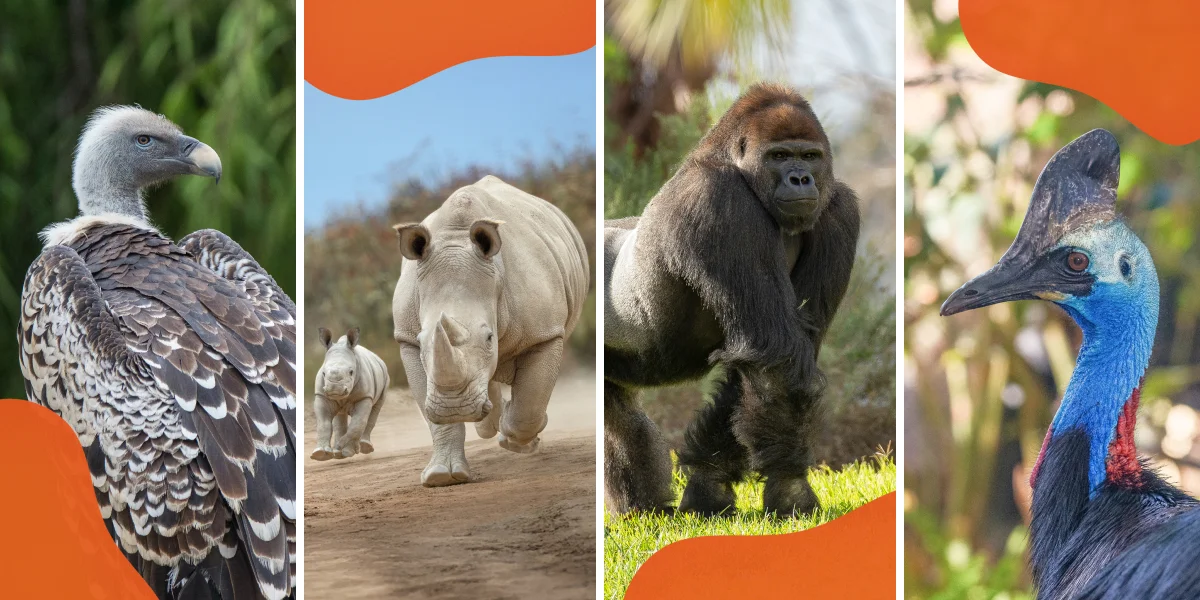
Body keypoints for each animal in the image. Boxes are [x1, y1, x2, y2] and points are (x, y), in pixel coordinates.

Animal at [311, 327, 391, 461]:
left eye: (351, 372)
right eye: (323, 373)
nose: (335, 389)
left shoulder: (364, 396)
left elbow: (357, 423)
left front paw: (346, 450)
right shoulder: (321, 395)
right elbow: (323, 423)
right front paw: (320, 454)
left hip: (385, 377)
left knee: (375, 409)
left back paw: (362, 448)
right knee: (340, 415)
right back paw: (338, 453)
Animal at [392, 175, 589, 487]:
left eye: (489, 338)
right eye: (423, 341)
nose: (455, 408)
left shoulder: (545, 333)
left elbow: (530, 403)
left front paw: (514, 440)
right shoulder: (407, 338)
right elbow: (431, 413)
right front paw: (441, 477)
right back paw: (487, 424)